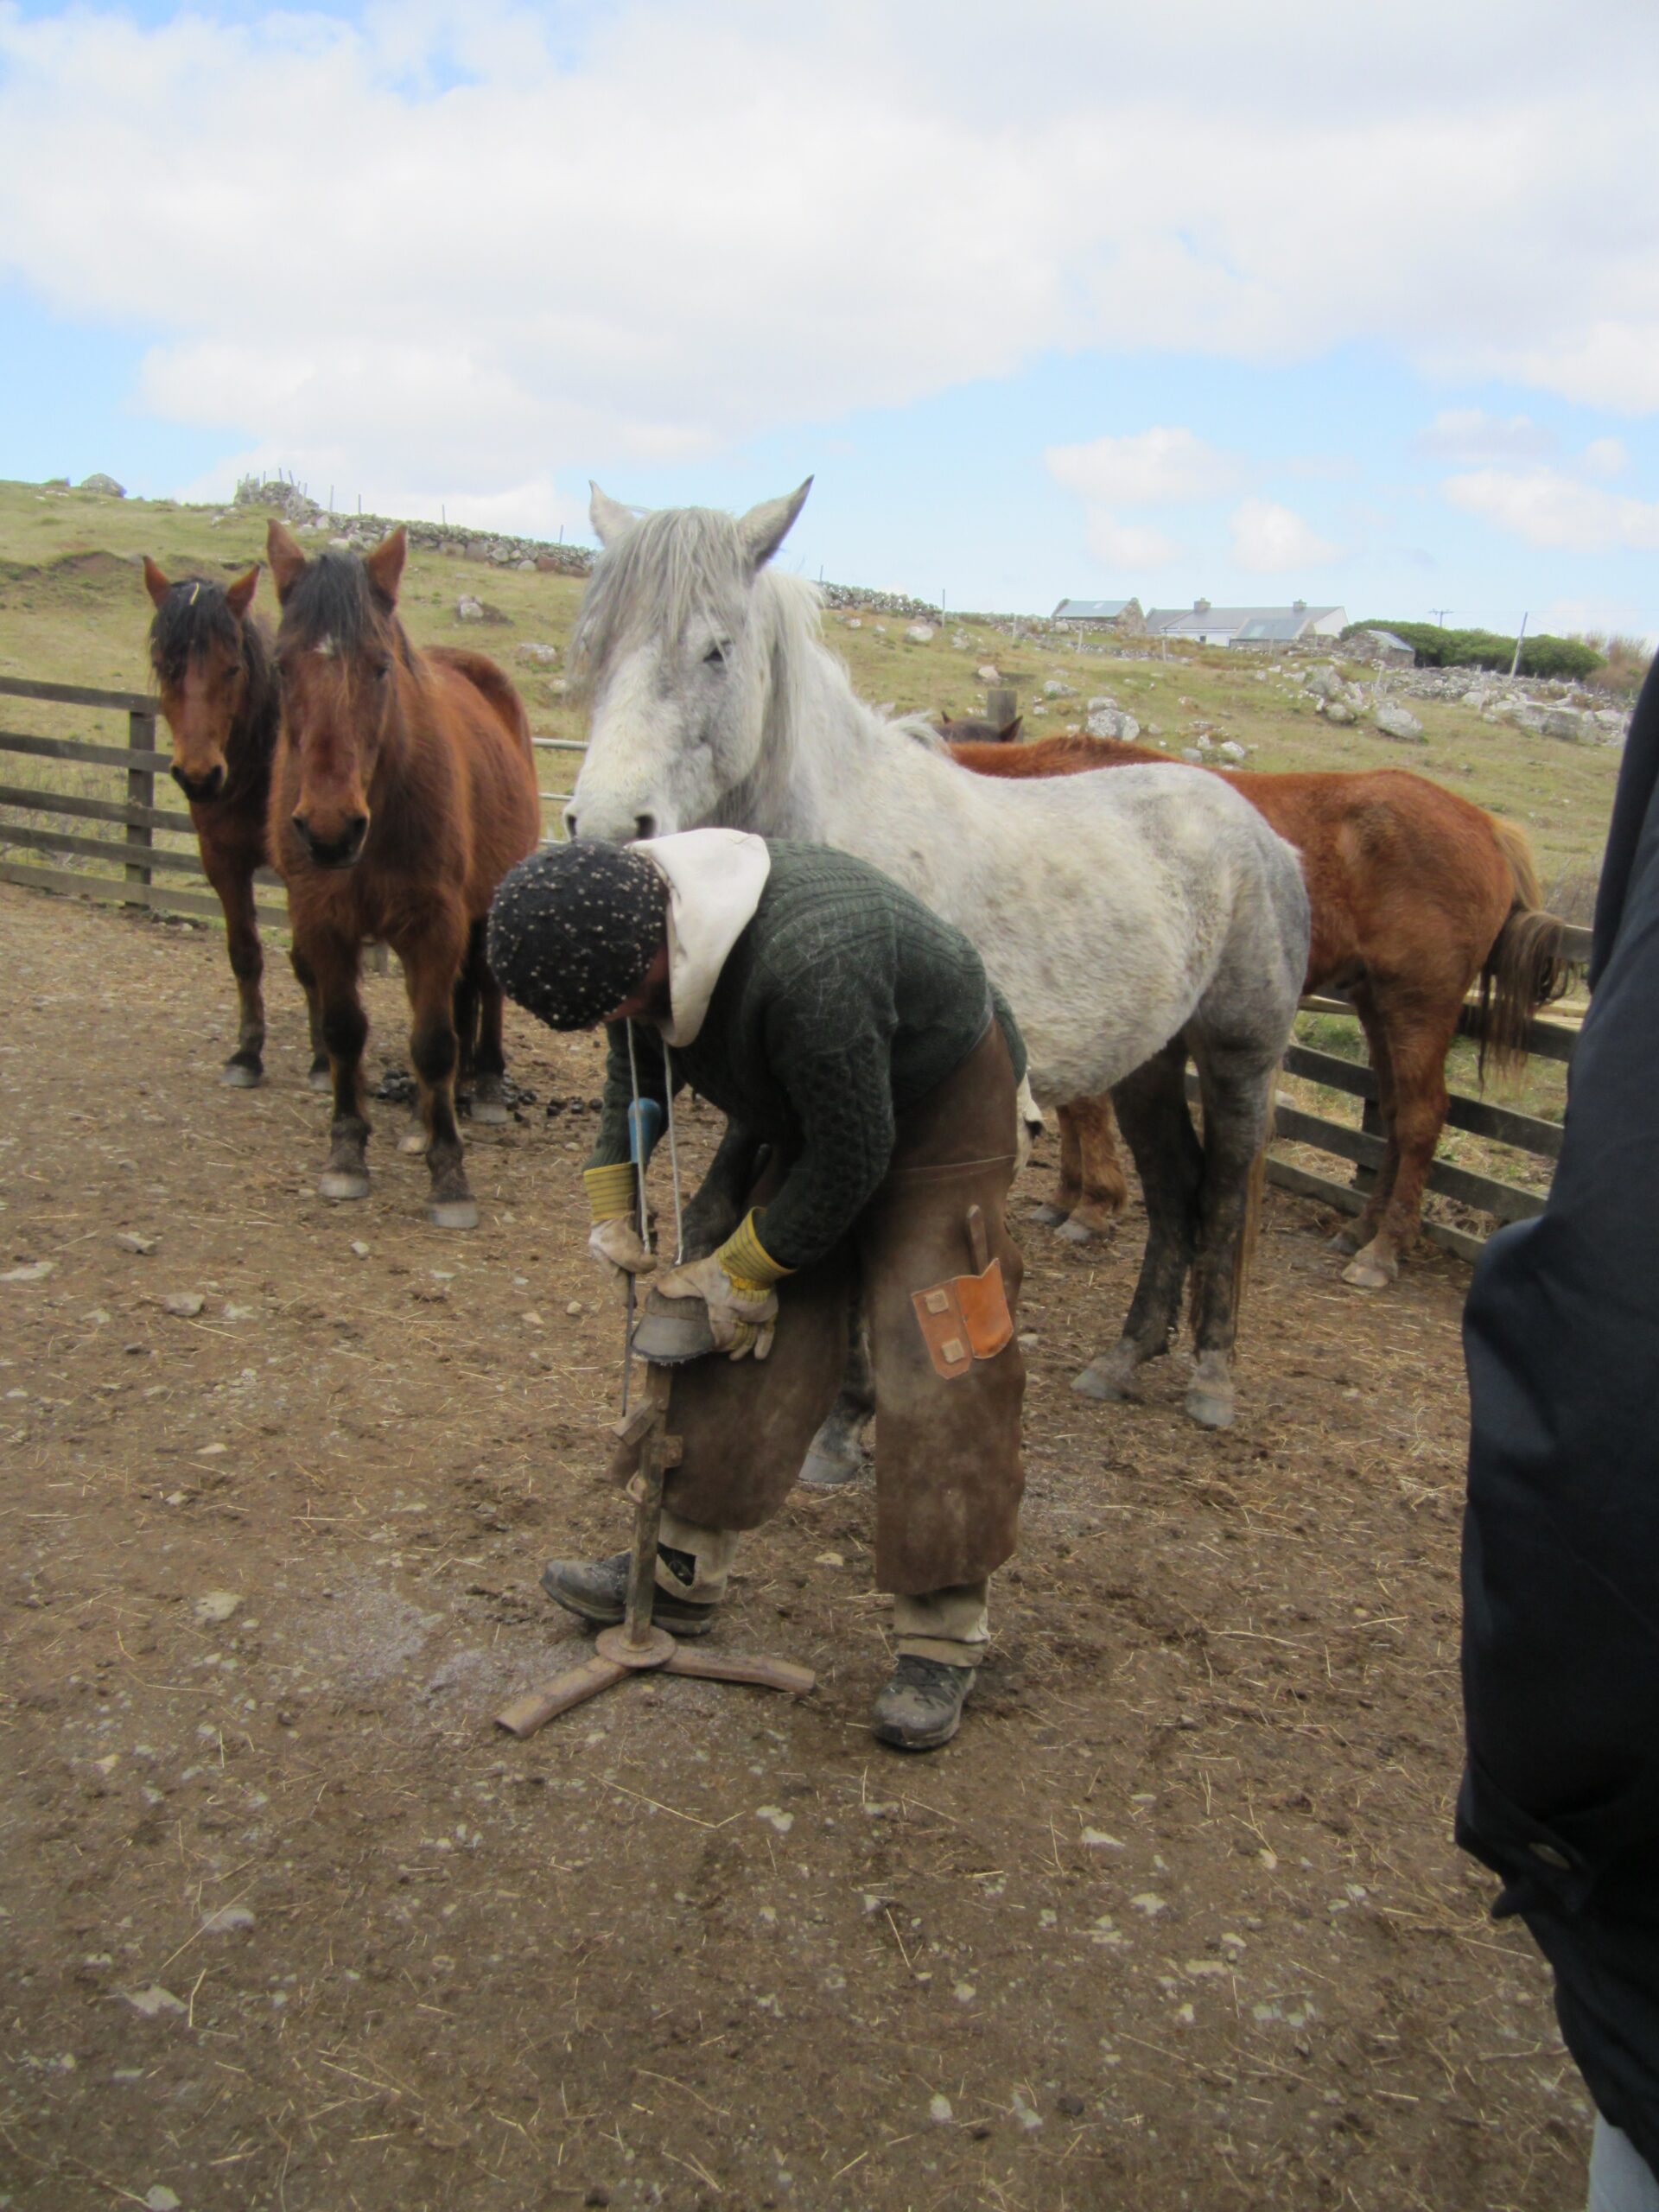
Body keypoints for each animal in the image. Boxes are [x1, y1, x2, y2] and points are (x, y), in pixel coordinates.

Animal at [142, 558, 327, 1088]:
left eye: (233, 668)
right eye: (166, 665)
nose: (200, 777)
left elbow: (307, 961)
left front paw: (322, 1060)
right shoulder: (223, 864)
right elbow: (245, 955)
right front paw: (247, 1053)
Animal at [265, 522, 542, 1229]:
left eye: (380, 665)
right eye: (281, 666)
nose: (331, 829)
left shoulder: (435, 924)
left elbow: (436, 1042)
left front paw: (450, 1177)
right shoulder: (322, 921)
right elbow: (344, 1033)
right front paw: (346, 1155)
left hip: (482, 908)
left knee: (482, 993)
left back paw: (485, 1086)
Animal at [562, 482, 1311, 1432]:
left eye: (715, 650)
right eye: (597, 644)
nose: (607, 829)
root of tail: (1261, 830)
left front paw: (846, 1419)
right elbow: (726, 1216)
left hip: (1237, 1057)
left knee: (1222, 1192)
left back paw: (1212, 1376)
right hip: (1147, 1064)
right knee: (1176, 1190)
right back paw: (1124, 1357)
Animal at [949, 728, 1572, 1289]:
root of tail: (1488, 826)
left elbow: (1083, 1108)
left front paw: (1092, 1205)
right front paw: (1067, 1197)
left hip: (1418, 1004)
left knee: (1422, 1118)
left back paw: (1384, 1250)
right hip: (1377, 1002)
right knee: (1395, 1115)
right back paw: (1362, 1230)